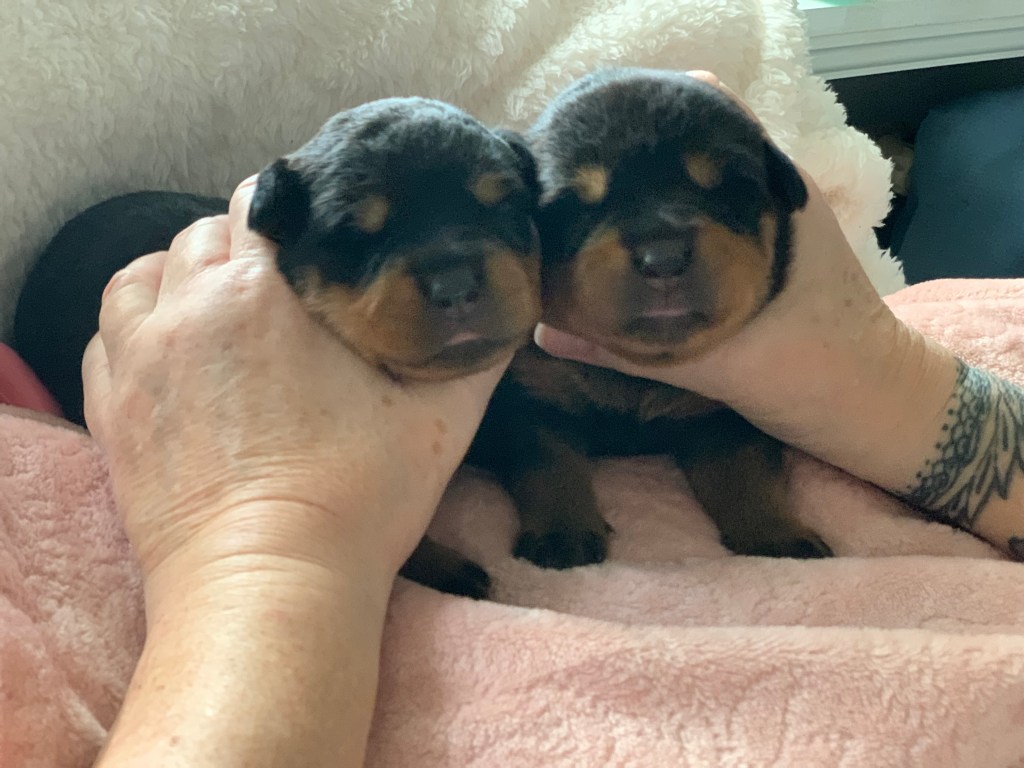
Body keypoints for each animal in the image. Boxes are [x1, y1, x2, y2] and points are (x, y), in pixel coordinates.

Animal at [468, 68, 833, 567]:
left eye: (728, 191)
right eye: (576, 207)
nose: (663, 259)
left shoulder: (728, 411)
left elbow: (746, 471)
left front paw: (775, 535)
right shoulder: (532, 395)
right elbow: (549, 464)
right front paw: (563, 534)